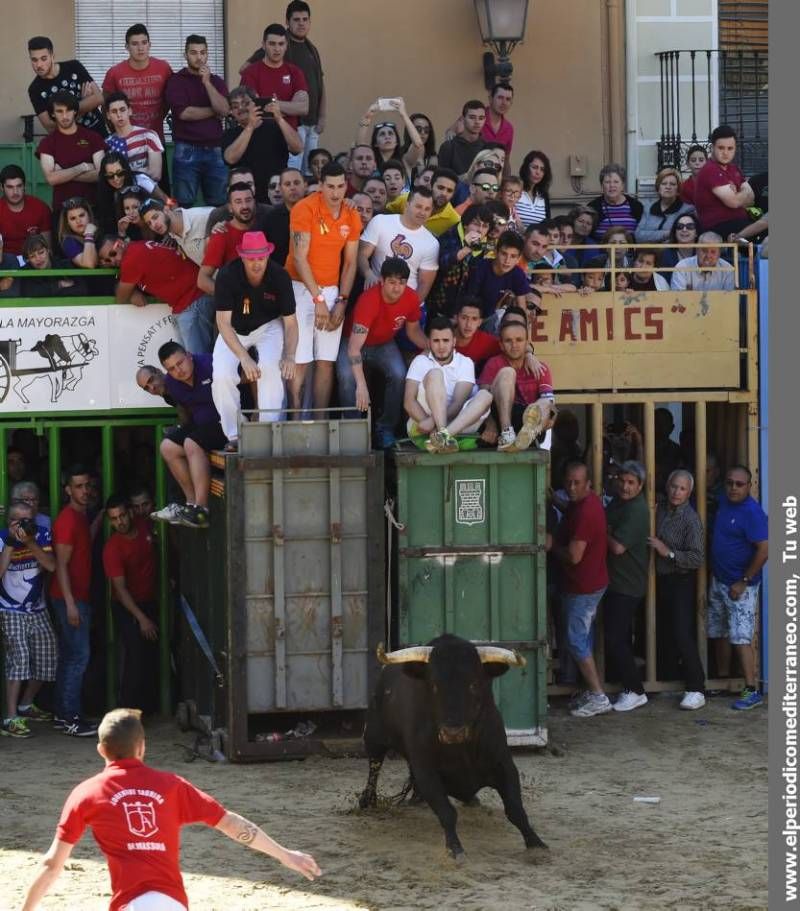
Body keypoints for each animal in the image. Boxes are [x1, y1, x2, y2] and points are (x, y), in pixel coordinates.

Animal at [360, 636, 548, 864]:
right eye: (434, 685)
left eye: (474, 684)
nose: (453, 733)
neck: (460, 749)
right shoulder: (427, 772)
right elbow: (447, 813)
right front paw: (455, 848)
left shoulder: (504, 765)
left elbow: (515, 809)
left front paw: (536, 843)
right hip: (374, 737)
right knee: (374, 767)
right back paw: (368, 801)